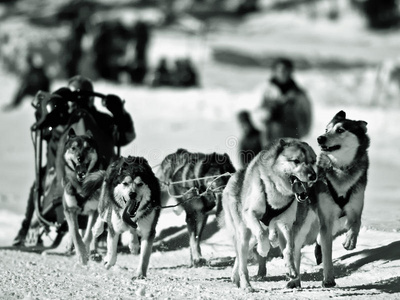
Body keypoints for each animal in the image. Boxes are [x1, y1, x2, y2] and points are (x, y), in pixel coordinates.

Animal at [220, 139, 318, 292]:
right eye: (296, 161)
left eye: (313, 161)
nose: (313, 176)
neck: (277, 193)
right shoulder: (251, 214)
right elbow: (261, 234)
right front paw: (264, 249)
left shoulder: (285, 224)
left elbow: (289, 249)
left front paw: (291, 269)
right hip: (244, 233)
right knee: (243, 262)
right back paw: (246, 285)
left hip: (252, 237)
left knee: (240, 258)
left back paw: (236, 278)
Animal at [314, 109, 370, 286]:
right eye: (326, 129)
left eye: (340, 130)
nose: (320, 138)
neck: (341, 169)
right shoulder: (325, 217)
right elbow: (327, 252)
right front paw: (328, 278)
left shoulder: (356, 206)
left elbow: (356, 223)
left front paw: (349, 241)